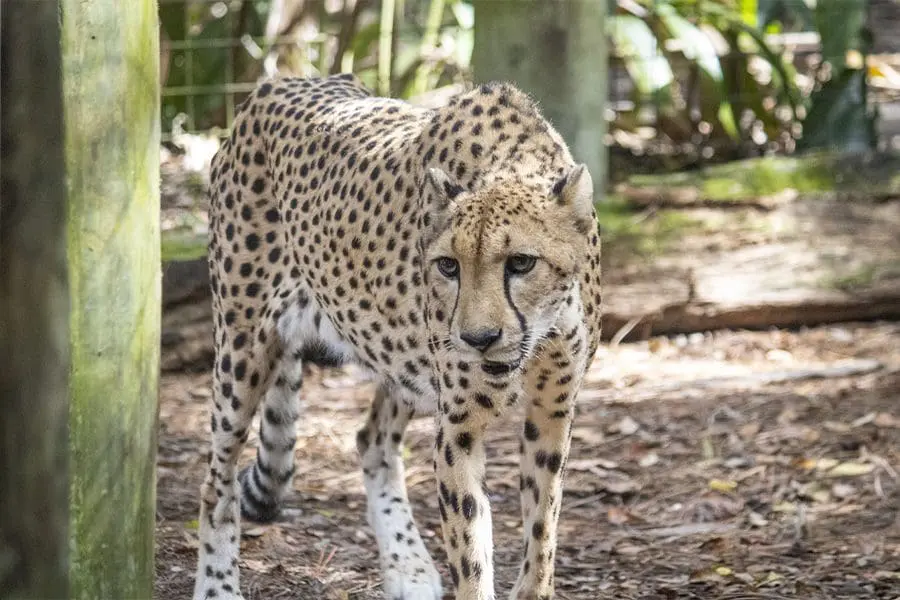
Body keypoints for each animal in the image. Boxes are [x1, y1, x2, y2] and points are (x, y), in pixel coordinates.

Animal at [197, 75, 604, 600]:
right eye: (448, 266)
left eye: (521, 262)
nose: (478, 338)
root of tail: (278, 82)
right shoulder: (459, 427)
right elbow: (472, 554)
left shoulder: (553, 413)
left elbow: (542, 532)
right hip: (243, 347)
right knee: (217, 480)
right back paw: (217, 585)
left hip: (399, 359)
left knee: (370, 438)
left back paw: (407, 566)